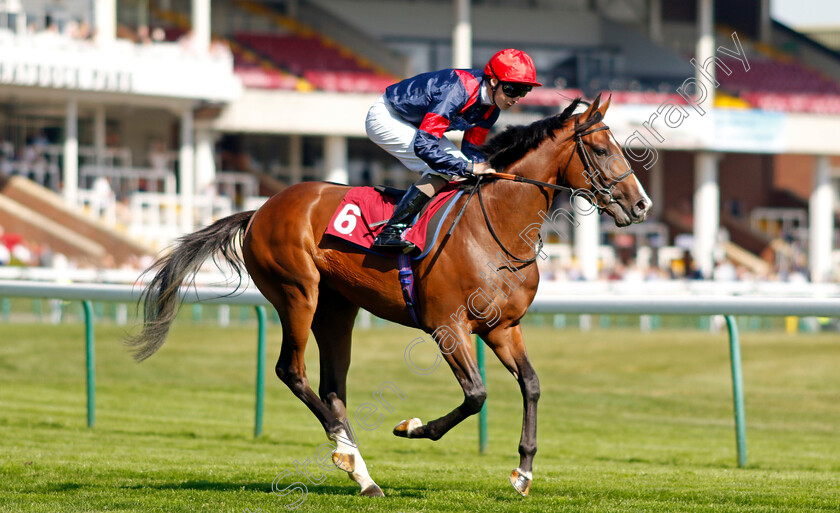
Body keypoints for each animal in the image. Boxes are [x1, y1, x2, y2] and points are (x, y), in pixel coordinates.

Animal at [126, 92, 648, 496]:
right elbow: (476, 395)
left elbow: (532, 385)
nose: (641, 204)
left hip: (337, 308)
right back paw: (345, 454)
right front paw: (412, 427)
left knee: (332, 386)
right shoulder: (446, 325)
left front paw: (522, 473)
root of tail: (259, 208)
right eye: (600, 148)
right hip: (298, 294)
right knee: (292, 371)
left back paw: (363, 475)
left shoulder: (503, 327)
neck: (496, 226)